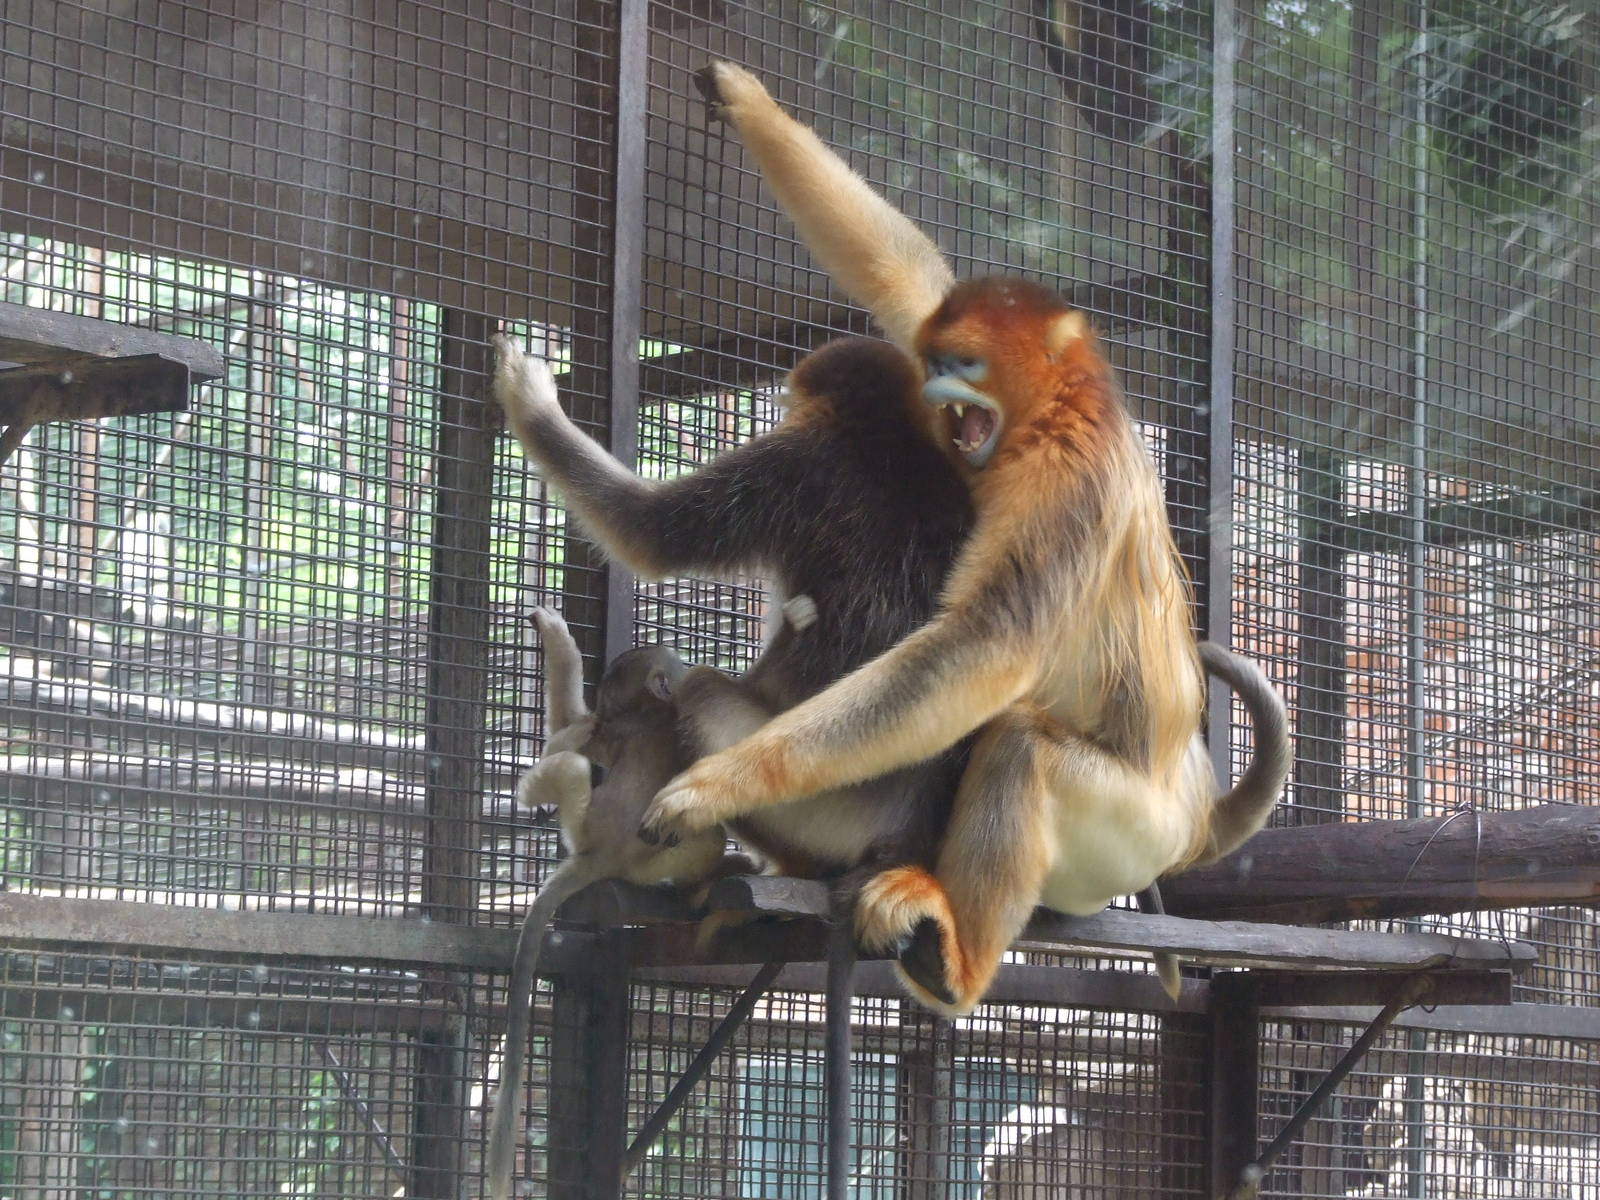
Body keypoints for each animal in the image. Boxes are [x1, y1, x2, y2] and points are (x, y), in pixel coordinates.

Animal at [486, 606, 753, 1200]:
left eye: (612, 686)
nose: (692, 670)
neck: (652, 713)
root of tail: (601, 857)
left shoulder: (619, 731)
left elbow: (572, 733)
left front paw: (554, 635)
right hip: (624, 847)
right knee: (690, 830)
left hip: (589, 828)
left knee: (569, 763)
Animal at [636, 62, 1291, 1015]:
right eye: (941, 359)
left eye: (970, 365)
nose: (942, 384)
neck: (1055, 412)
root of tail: (1193, 809)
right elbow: (909, 277)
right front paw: (744, 99)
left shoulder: (1067, 479)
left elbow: (982, 648)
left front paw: (720, 780)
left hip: (1132, 830)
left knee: (1017, 740)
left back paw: (957, 956)